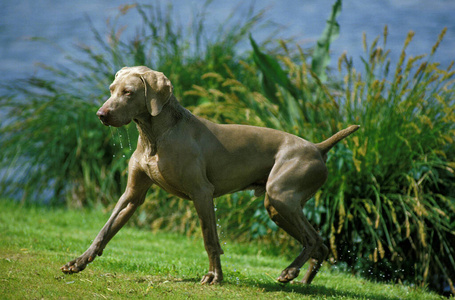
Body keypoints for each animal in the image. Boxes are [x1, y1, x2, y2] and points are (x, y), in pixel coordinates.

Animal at [61, 66, 360, 286]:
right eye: (112, 90)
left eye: (128, 92)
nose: (101, 114)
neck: (155, 135)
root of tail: (318, 147)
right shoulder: (132, 195)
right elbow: (105, 230)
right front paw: (78, 262)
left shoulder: (202, 193)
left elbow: (210, 239)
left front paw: (214, 276)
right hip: (277, 206)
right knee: (320, 244)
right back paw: (305, 281)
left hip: (281, 195)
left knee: (314, 239)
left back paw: (290, 272)